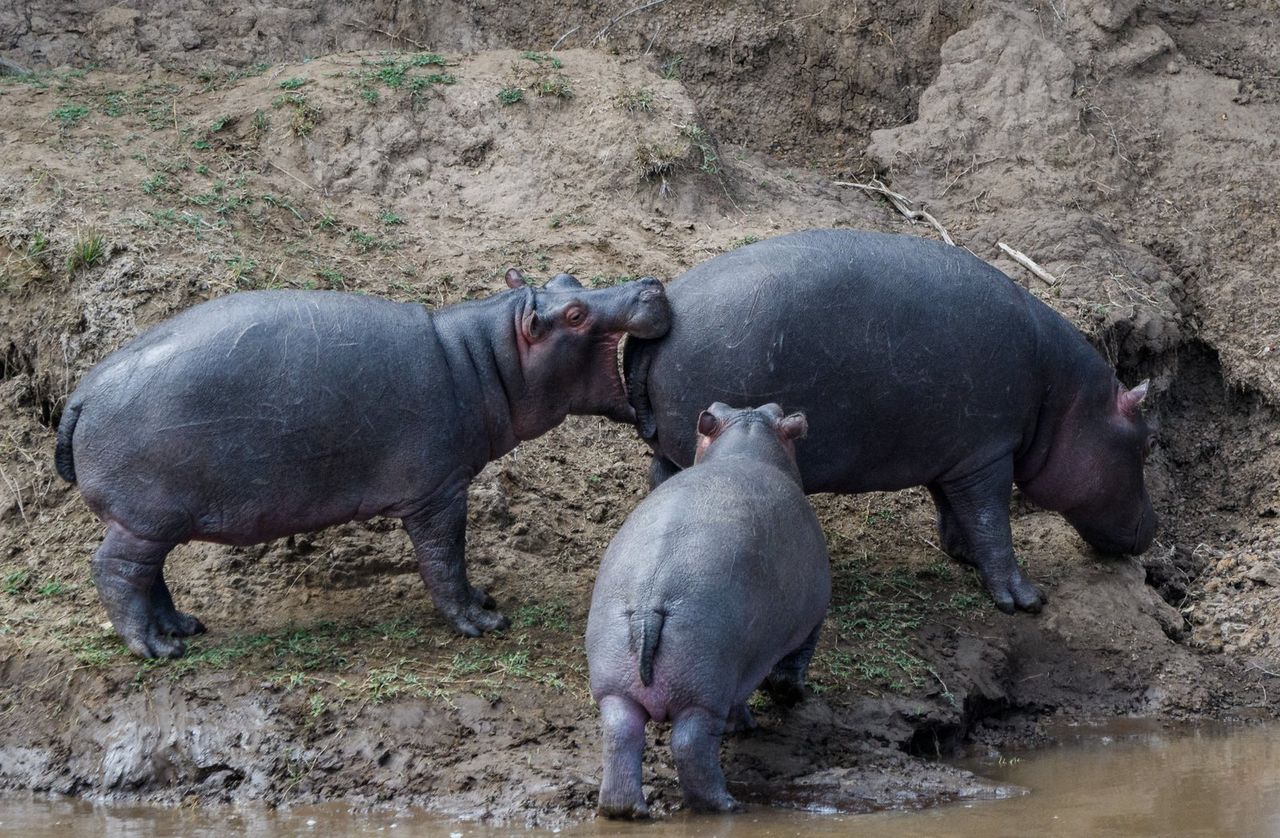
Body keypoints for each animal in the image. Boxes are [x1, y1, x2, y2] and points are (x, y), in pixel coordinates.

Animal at [55, 272, 675, 660]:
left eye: (570, 279)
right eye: (574, 312)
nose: (650, 282)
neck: (485, 358)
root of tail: (81, 393)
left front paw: (484, 601)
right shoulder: (438, 492)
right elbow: (445, 557)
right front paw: (481, 623)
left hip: (153, 520)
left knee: (148, 574)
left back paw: (181, 627)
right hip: (145, 517)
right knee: (114, 571)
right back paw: (156, 648)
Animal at [586, 404, 829, 818]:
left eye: (773, 411)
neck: (747, 442)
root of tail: (649, 601)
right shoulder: (809, 621)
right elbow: (790, 667)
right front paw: (786, 701)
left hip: (617, 688)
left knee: (620, 737)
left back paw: (625, 810)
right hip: (704, 690)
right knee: (691, 745)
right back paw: (725, 805)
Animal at [629, 229, 1162, 616]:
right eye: (1144, 443)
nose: (1155, 528)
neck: (1065, 399)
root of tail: (665, 318)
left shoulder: (953, 454)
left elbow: (955, 511)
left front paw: (962, 555)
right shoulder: (988, 454)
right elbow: (993, 523)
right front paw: (1025, 600)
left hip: (675, 447)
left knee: (660, 475)